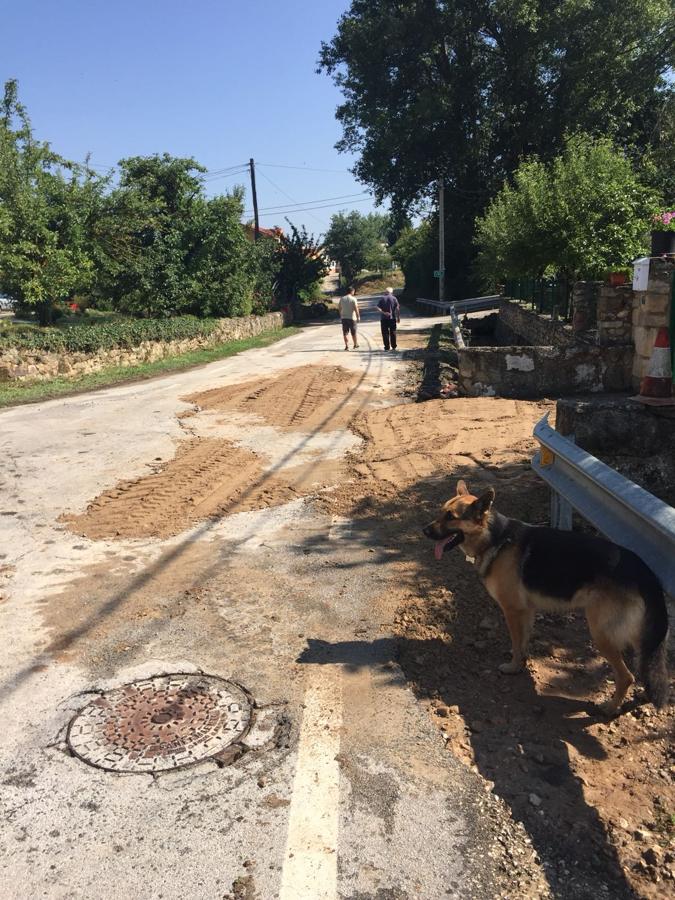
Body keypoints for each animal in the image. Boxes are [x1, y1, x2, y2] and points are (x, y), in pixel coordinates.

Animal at [422, 482, 672, 712]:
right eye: (440, 512)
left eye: (450, 517)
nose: (424, 531)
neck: (494, 537)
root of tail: (646, 573)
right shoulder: (526, 611)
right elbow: (523, 641)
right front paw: (521, 664)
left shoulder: (512, 611)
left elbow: (516, 641)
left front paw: (512, 667)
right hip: (639, 639)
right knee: (647, 668)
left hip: (601, 633)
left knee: (627, 676)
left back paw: (610, 707)